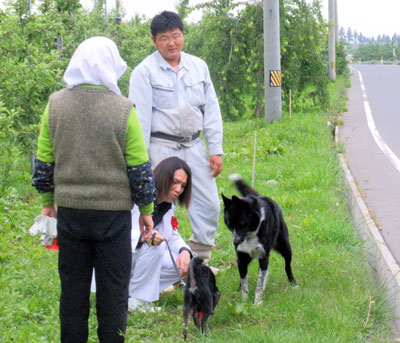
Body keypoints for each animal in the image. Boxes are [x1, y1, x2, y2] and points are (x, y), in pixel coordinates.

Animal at [222, 175, 296, 306]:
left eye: (241, 224)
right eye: (229, 225)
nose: (235, 242)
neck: (250, 235)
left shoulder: (263, 256)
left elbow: (259, 284)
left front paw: (256, 303)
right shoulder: (241, 258)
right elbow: (245, 284)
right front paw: (244, 302)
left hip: (285, 247)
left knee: (287, 266)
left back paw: (293, 283)